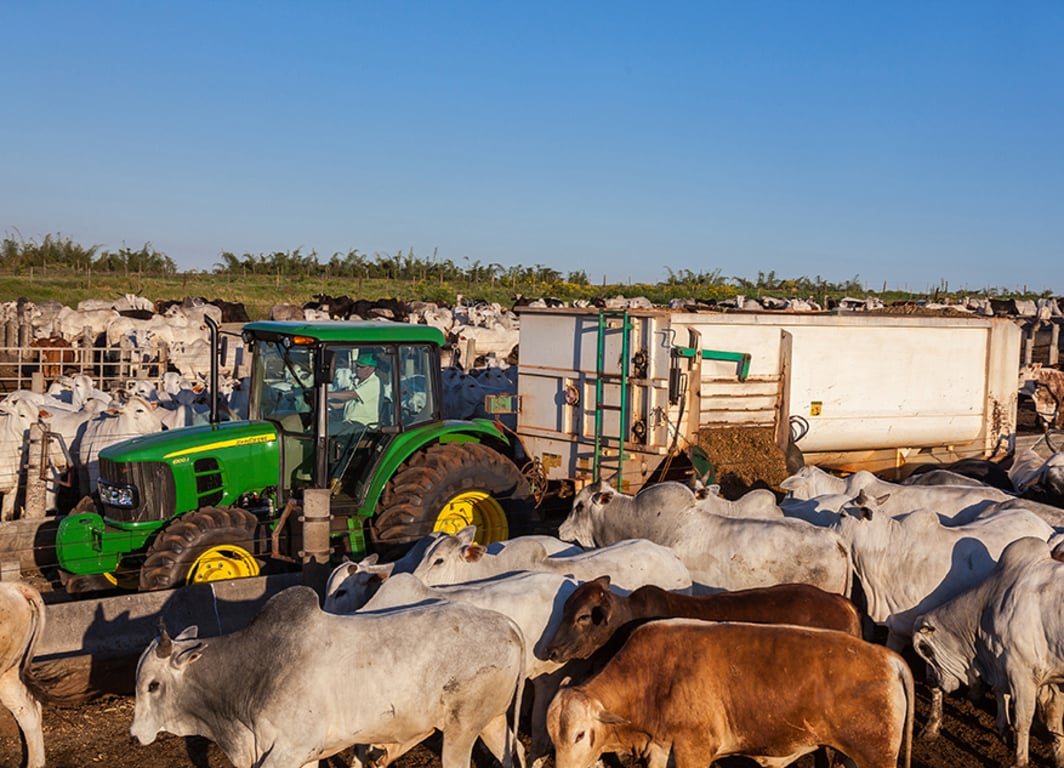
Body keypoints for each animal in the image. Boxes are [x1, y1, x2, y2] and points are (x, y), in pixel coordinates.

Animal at [549, 621, 915, 765]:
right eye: (552, 737)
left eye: (580, 735)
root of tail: (887, 658)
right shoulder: (660, 748)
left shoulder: (694, 751)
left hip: (876, 757)